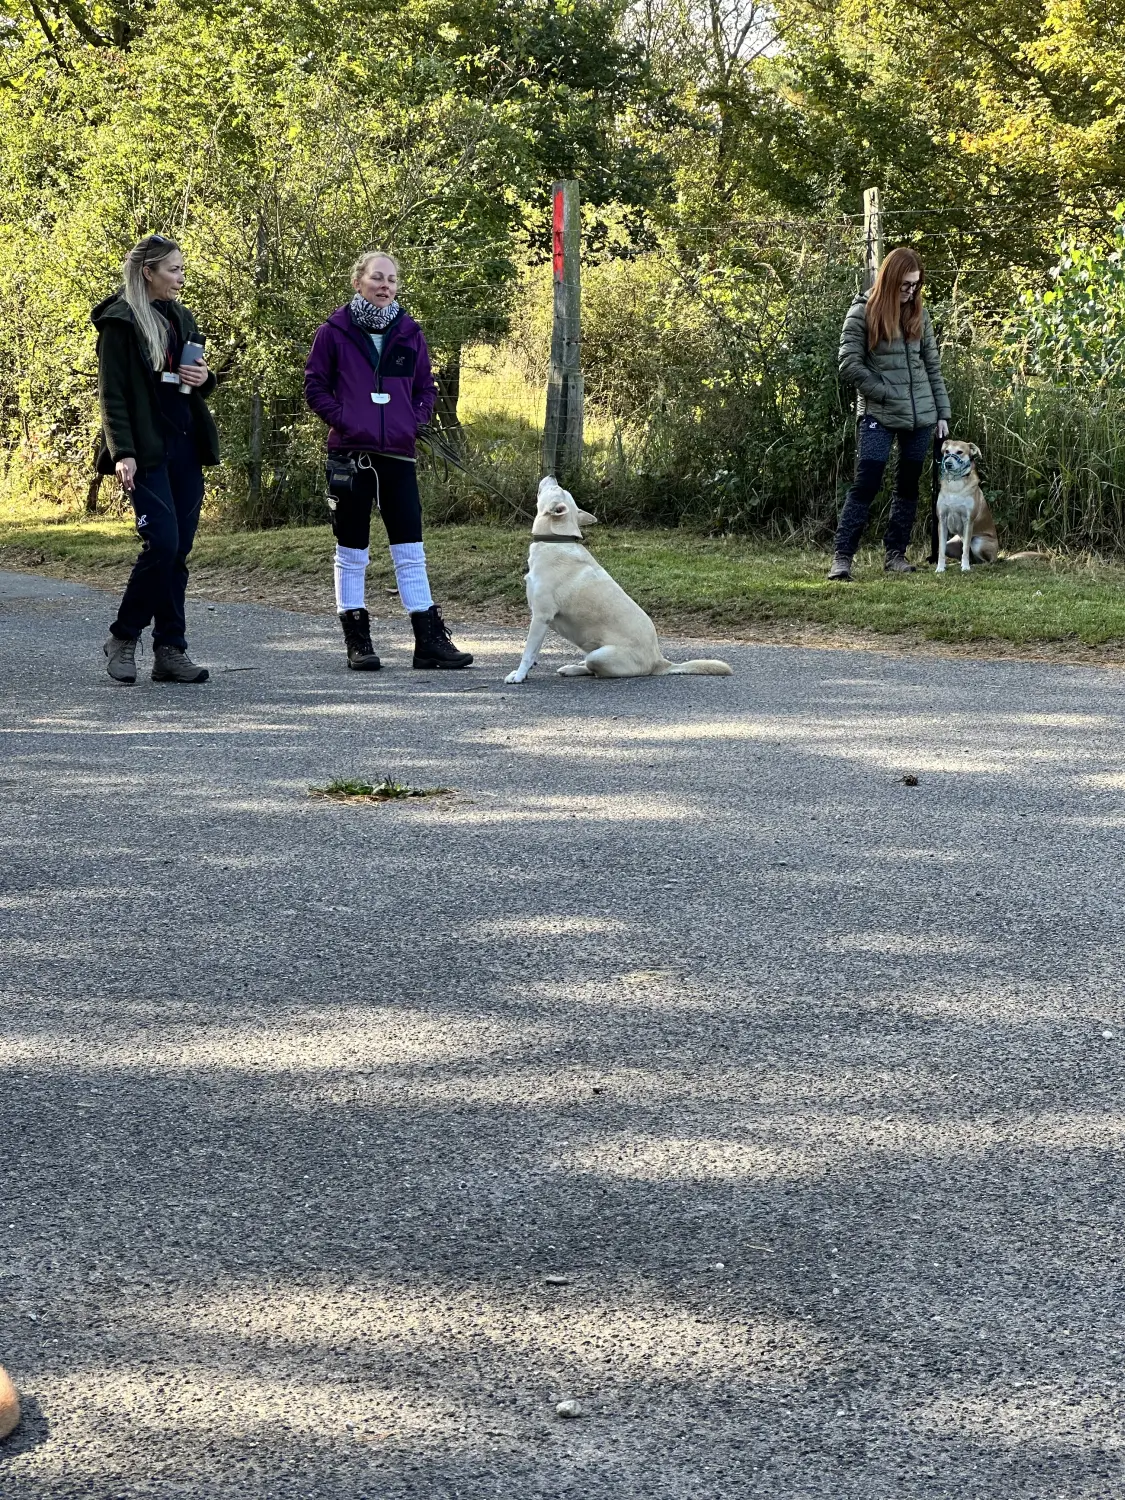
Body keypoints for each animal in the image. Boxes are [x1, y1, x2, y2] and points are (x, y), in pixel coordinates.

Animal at [507, 474, 735, 687]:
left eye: (557, 488)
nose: (553, 475)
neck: (556, 539)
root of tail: (659, 661)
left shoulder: (541, 617)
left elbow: (528, 653)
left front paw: (519, 675)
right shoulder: (541, 619)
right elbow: (534, 653)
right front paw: (523, 674)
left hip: (598, 655)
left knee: (594, 670)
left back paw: (574, 669)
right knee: (588, 667)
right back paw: (572, 667)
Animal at [936, 438, 1002, 573]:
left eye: (960, 452)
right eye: (947, 451)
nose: (948, 464)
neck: (955, 484)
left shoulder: (968, 521)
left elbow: (965, 549)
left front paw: (965, 567)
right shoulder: (942, 521)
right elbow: (941, 550)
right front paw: (940, 567)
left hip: (978, 542)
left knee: (987, 561)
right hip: (951, 543)